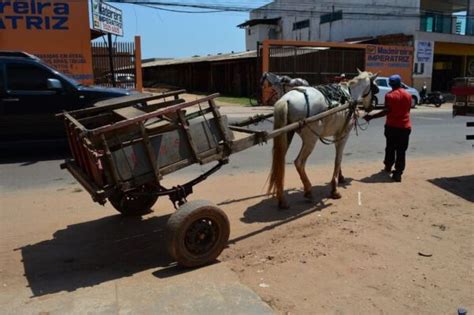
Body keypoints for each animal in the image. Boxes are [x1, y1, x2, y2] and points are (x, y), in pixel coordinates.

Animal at [268, 71, 380, 210]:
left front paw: (340, 177)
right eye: (375, 88)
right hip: (311, 139)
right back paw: (308, 191)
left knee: (280, 161)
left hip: (287, 134)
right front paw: (334, 189)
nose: (371, 107)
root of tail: (286, 99)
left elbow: (339, 159)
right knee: (299, 162)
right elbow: (338, 158)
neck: (350, 94)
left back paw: (282, 199)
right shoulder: (344, 134)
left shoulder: (337, 134)